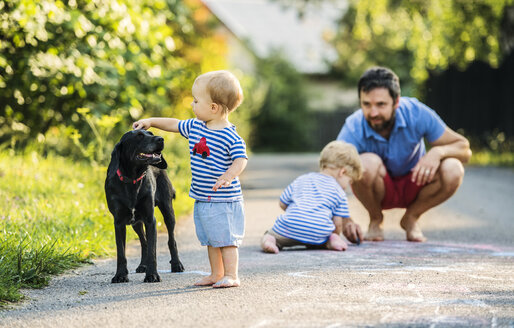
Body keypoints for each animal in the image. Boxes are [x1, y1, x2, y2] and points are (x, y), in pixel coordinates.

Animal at [105, 129, 183, 284]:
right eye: (139, 136)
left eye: (150, 133)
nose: (161, 139)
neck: (132, 180)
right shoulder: (119, 222)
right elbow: (121, 252)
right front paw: (120, 275)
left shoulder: (150, 219)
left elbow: (153, 251)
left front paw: (152, 275)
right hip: (136, 223)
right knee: (144, 241)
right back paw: (143, 265)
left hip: (168, 211)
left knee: (171, 240)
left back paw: (176, 264)